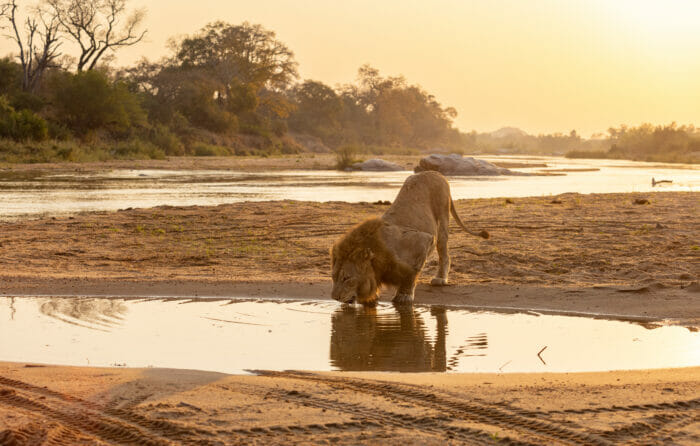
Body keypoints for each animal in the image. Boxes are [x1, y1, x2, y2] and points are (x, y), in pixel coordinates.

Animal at [332, 169, 486, 304]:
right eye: (333, 277)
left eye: (346, 278)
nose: (335, 298)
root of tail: (436, 172)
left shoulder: (423, 241)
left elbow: (410, 275)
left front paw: (403, 296)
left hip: (442, 217)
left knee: (444, 253)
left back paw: (440, 279)